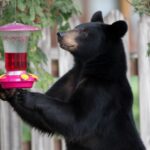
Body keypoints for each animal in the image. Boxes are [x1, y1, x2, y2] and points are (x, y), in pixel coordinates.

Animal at [0, 11, 145, 149]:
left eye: (84, 32)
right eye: (76, 27)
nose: (60, 34)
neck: (87, 67)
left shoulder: (102, 91)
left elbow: (77, 120)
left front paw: (29, 96)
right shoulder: (69, 80)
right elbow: (42, 120)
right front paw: (10, 91)